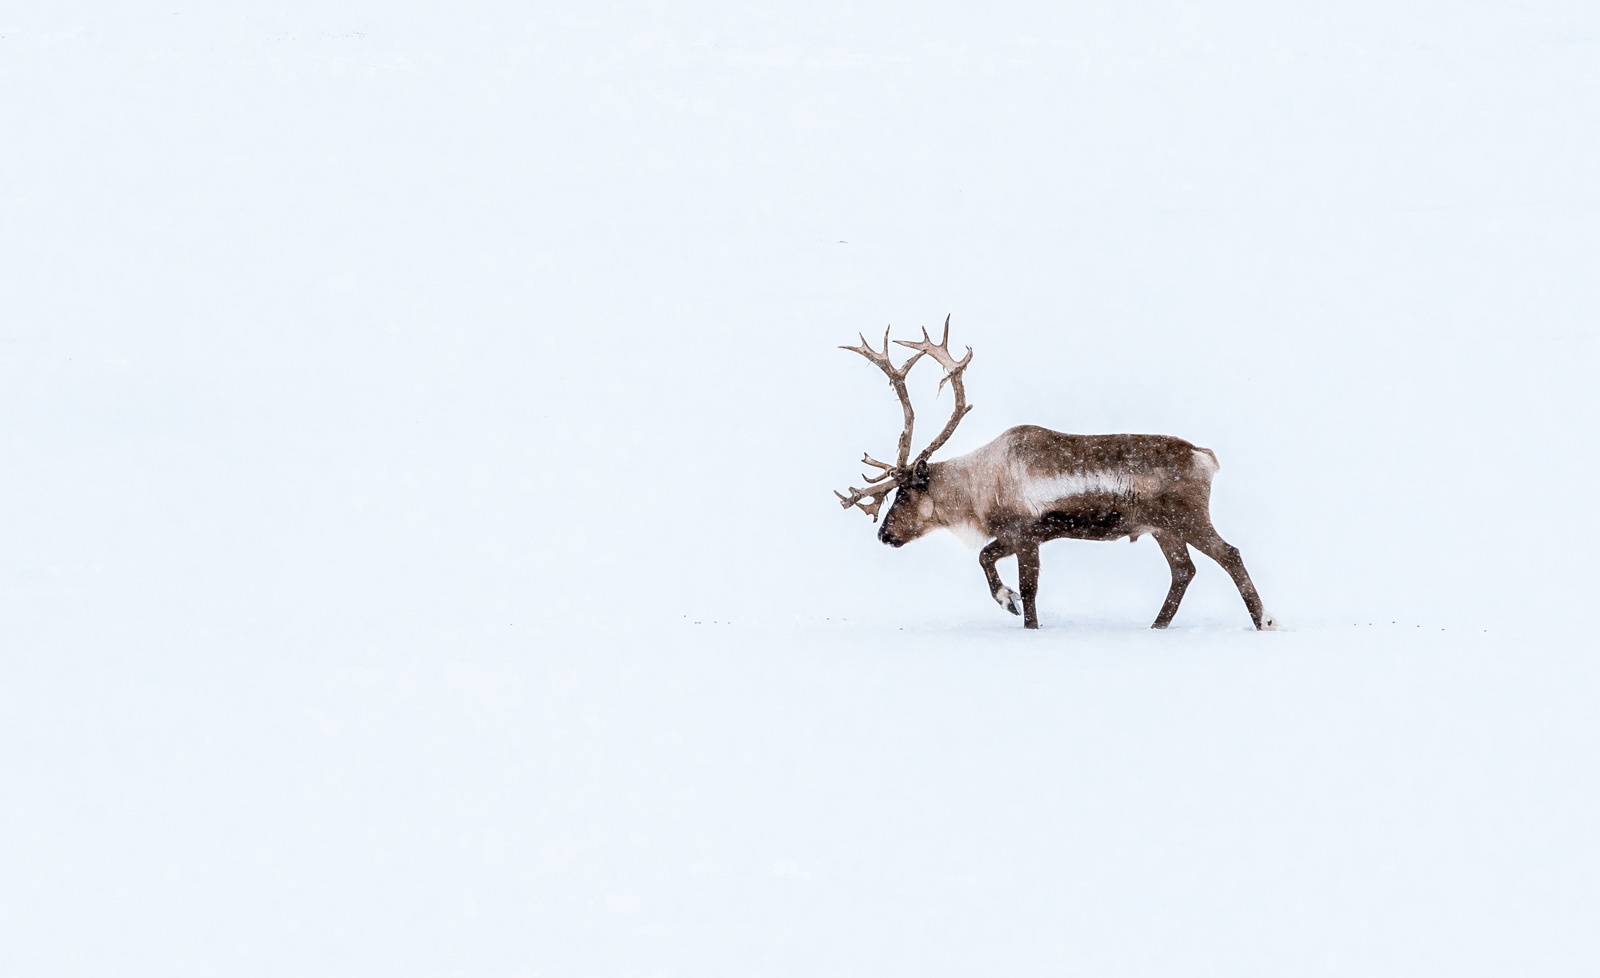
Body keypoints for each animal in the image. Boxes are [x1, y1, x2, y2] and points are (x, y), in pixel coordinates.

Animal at [835, 316, 1276, 631]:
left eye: (904, 493)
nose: (883, 534)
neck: (976, 486)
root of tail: (1206, 457)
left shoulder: (1025, 532)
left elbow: (1024, 586)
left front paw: (1018, 612)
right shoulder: (1019, 535)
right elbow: (986, 558)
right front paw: (1007, 601)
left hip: (1187, 517)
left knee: (1229, 555)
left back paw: (1264, 621)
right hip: (1162, 528)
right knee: (1184, 570)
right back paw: (1156, 626)